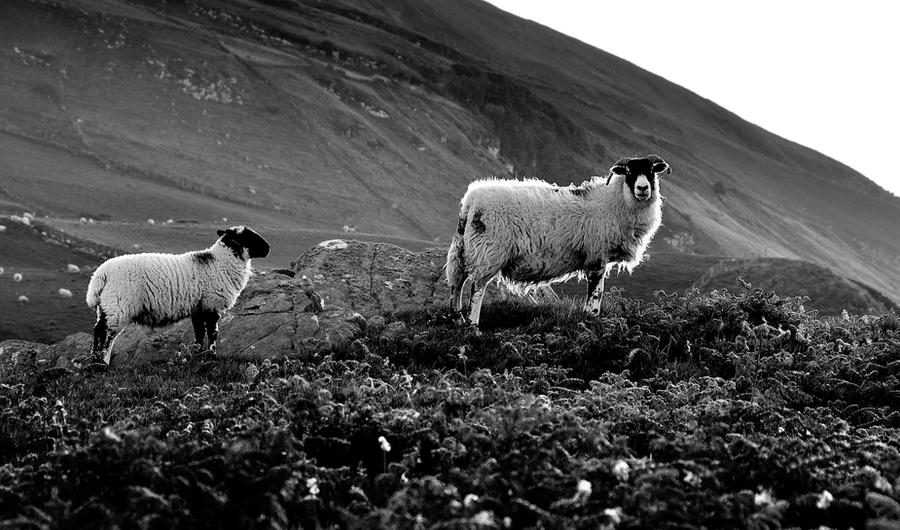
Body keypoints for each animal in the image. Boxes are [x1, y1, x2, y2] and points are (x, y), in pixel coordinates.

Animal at [81, 225, 268, 366]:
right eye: (249, 236)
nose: (268, 248)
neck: (220, 261)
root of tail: (101, 274)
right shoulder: (212, 305)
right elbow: (213, 333)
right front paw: (211, 357)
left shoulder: (198, 308)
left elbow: (199, 332)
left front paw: (196, 355)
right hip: (119, 306)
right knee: (107, 334)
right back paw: (101, 363)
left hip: (106, 306)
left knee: (98, 330)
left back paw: (93, 360)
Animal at [446, 155, 672, 324]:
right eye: (629, 172)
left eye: (651, 171)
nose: (643, 189)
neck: (615, 201)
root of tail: (471, 201)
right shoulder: (597, 256)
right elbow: (596, 292)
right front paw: (591, 318)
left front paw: (587, 317)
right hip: (489, 251)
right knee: (477, 288)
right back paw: (473, 326)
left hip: (464, 249)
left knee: (456, 282)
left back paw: (457, 319)